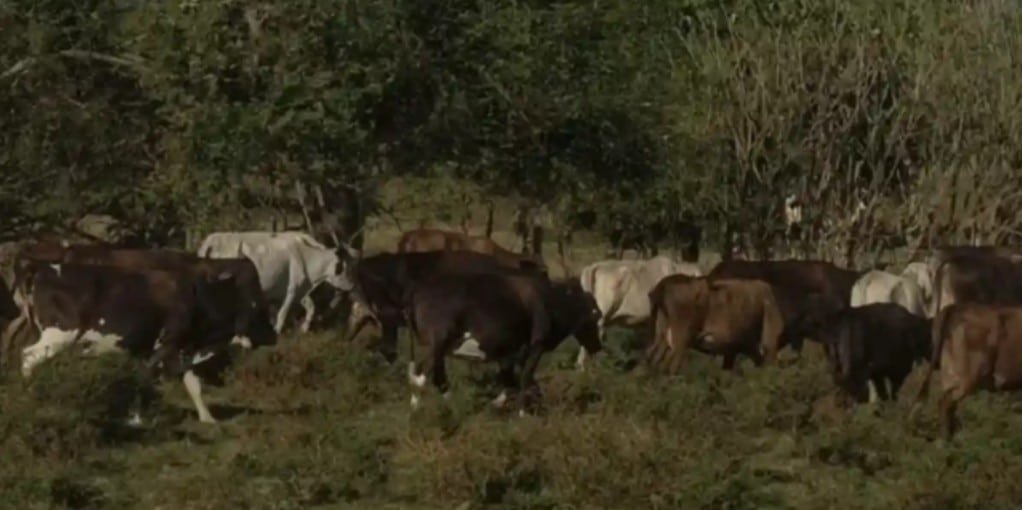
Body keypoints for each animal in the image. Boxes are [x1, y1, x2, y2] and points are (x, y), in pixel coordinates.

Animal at [19, 261, 277, 423]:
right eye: (259, 308)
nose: (274, 336)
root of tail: (40, 268)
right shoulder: (166, 345)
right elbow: (144, 381)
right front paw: (136, 418)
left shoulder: (174, 348)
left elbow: (192, 383)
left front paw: (207, 418)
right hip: (59, 335)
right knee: (28, 357)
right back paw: (29, 398)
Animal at [197, 231, 356, 334]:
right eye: (344, 268)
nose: (352, 286)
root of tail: (208, 243)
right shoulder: (292, 288)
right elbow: (283, 313)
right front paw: (277, 331)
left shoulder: (296, 291)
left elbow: (311, 307)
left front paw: (304, 328)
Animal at [404, 273, 601, 413]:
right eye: (596, 314)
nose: (598, 347)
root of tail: (419, 288)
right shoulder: (537, 345)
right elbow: (524, 378)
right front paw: (522, 414)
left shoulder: (509, 354)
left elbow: (512, 381)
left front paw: (499, 404)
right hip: (437, 343)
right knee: (424, 375)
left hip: (437, 348)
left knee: (433, 376)